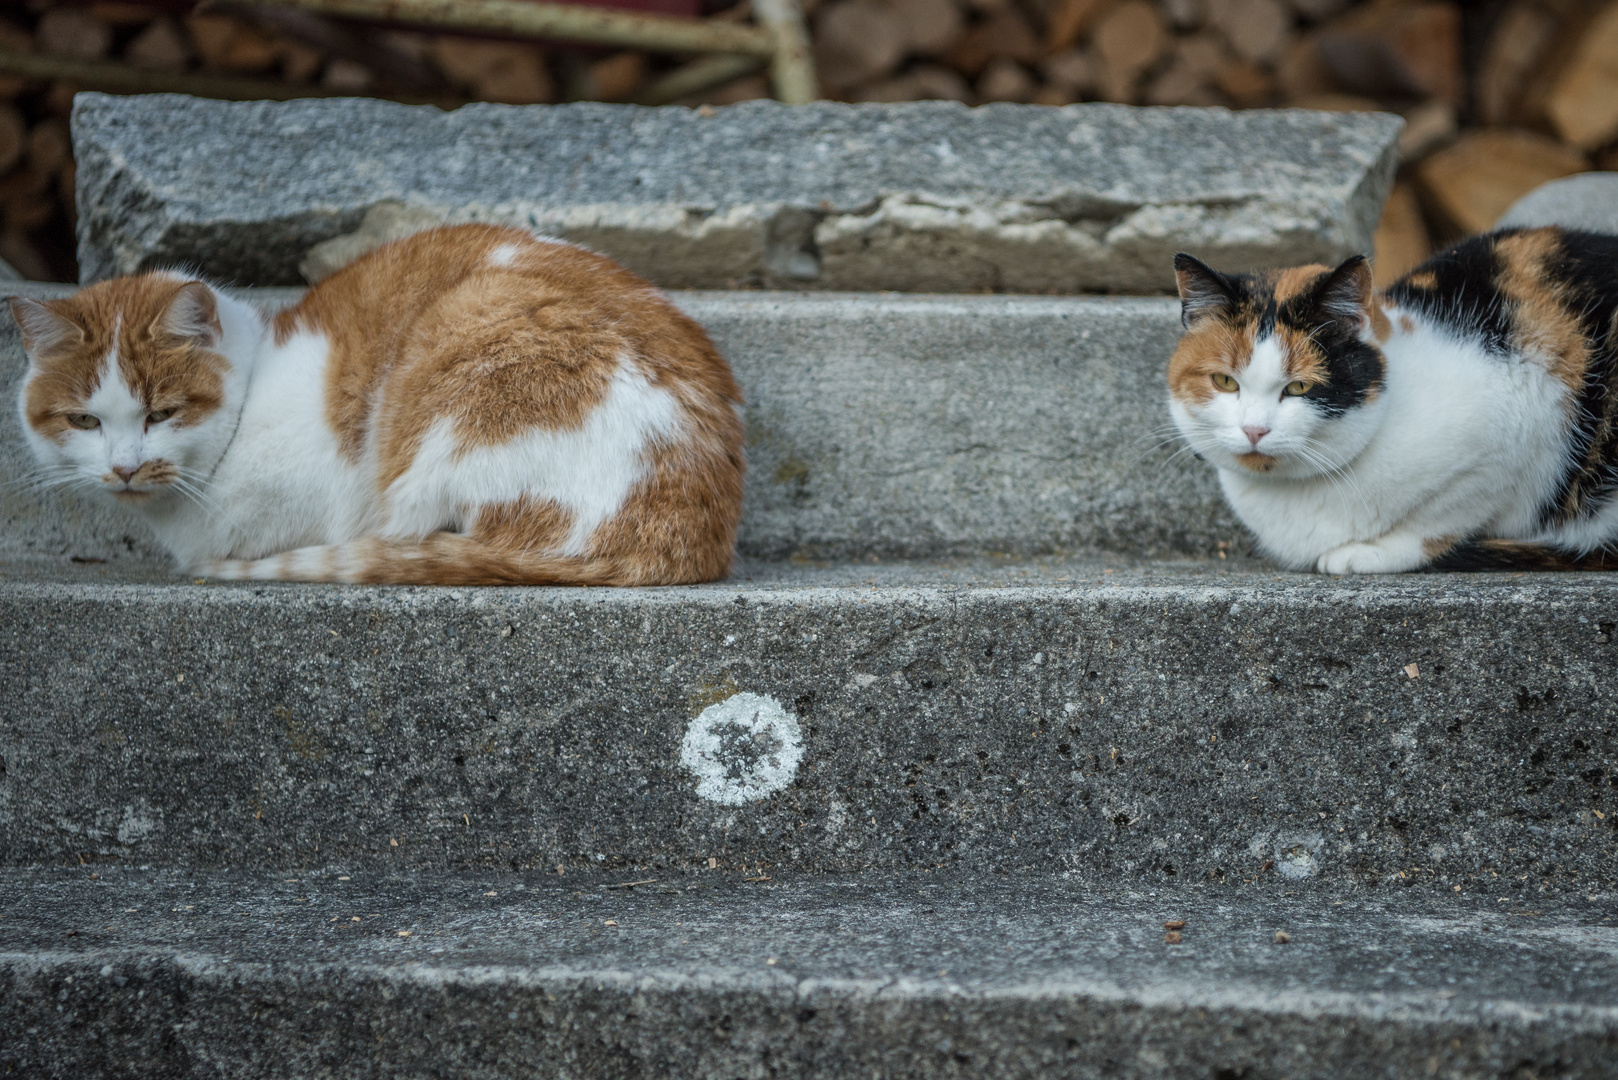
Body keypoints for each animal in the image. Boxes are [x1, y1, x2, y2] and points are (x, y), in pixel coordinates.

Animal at [1171, 223, 1611, 569]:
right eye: (1225, 381)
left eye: (1298, 387)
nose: (1254, 430)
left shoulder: (1511, 443)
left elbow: (1439, 522)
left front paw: (1366, 553)